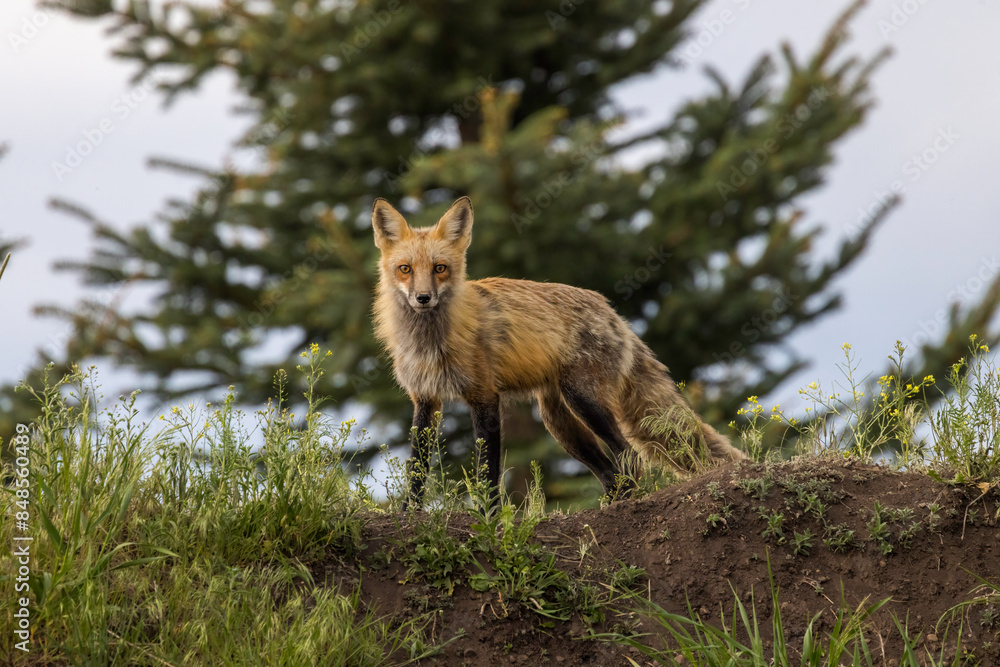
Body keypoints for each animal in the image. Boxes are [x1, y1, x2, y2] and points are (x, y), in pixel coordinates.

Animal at [371, 196, 744, 505]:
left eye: (440, 268)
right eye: (405, 269)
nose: (423, 298)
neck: (429, 343)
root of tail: (613, 312)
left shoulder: (484, 396)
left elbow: (488, 474)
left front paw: (489, 517)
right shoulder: (425, 399)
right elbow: (416, 472)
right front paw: (409, 515)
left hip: (583, 399)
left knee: (628, 456)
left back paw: (624, 505)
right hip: (558, 419)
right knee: (608, 471)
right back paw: (611, 504)